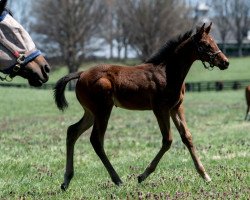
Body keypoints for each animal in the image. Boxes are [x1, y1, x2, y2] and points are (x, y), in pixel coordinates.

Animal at [54, 22, 229, 190]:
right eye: (205, 44)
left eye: (214, 42)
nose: (225, 62)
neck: (167, 72)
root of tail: (81, 73)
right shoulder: (160, 109)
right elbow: (168, 140)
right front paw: (143, 175)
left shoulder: (176, 107)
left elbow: (187, 137)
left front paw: (205, 175)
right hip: (103, 110)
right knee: (96, 140)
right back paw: (117, 180)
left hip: (91, 112)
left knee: (72, 131)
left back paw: (66, 180)